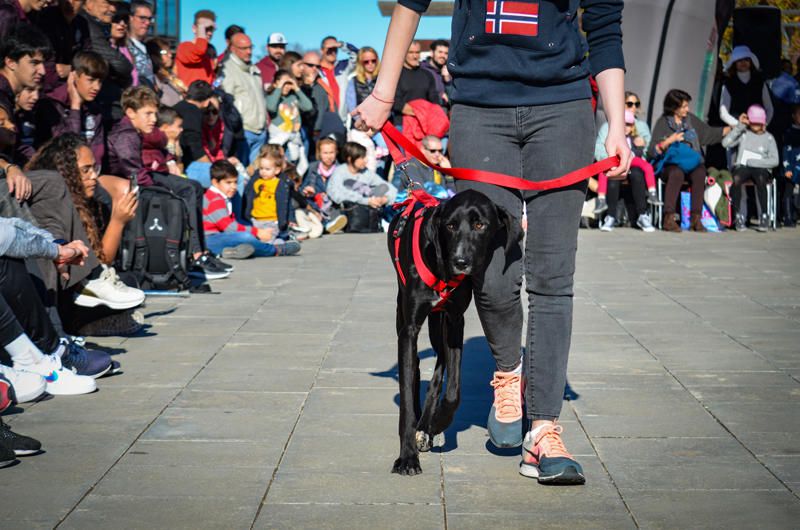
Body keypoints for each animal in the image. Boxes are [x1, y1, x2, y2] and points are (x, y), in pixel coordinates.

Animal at [390, 190, 524, 474]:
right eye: (450, 226)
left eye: (480, 225)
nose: (461, 262)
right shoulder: (409, 330)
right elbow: (406, 399)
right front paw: (407, 457)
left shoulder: (454, 321)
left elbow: (453, 391)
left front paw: (437, 423)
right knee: (415, 368)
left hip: (438, 326)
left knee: (439, 369)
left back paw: (426, 426)